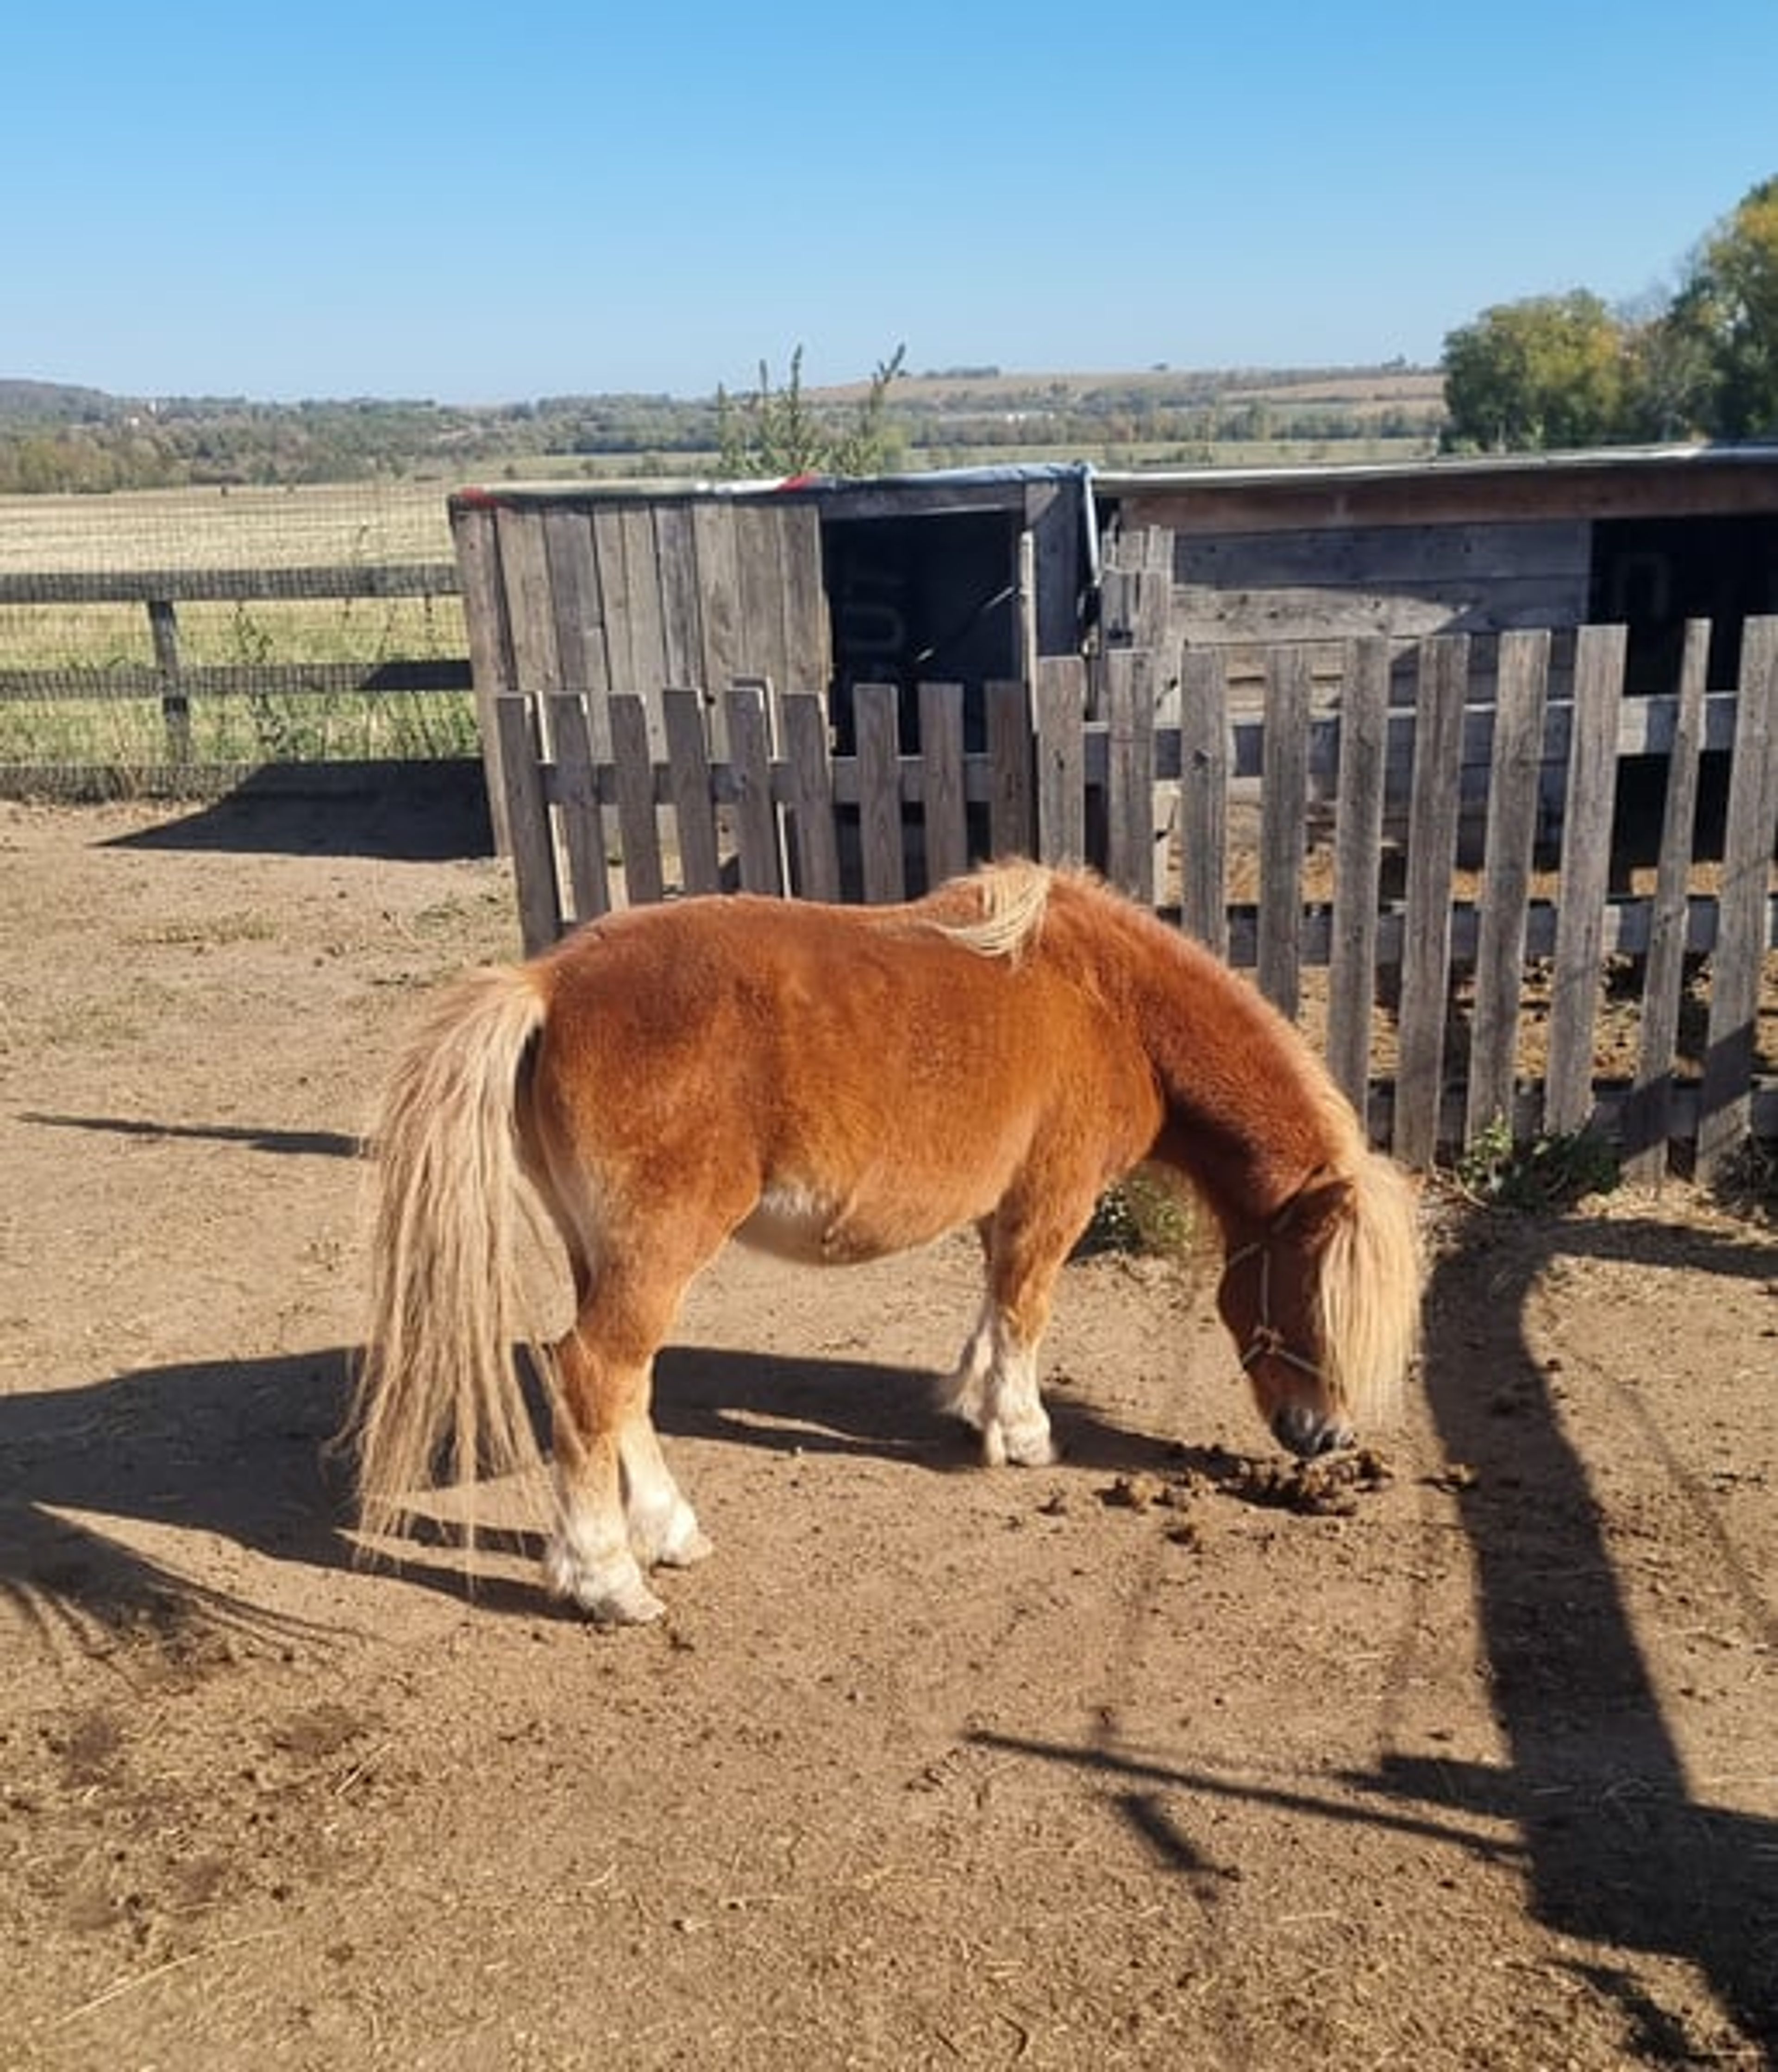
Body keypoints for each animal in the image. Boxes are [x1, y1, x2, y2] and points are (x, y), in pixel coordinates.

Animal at [347, 861, 1422, 1625]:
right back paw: (609, 1580)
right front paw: (1022, 1433)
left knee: (625, 1388)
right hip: (654, 1255)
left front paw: (973, 1405)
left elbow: (991, 1310)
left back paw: (667, 1531)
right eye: (1310, 1296)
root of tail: (549, 981)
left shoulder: (1005, 1207)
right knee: (591, 1377)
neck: (1106, 997)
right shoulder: (1054, 1203)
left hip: (604, 1255)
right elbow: (1026, 1312)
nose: (1326, 1437)